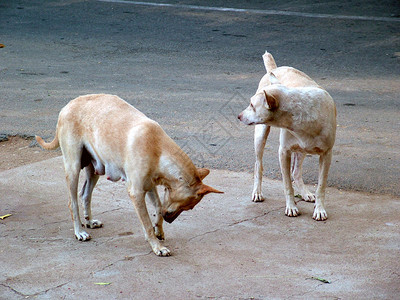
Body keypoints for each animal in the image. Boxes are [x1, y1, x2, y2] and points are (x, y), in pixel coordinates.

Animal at [36, 94, 223, 255]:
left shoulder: (150, 186)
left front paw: (159, 229)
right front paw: (157, 246)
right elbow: (146, 223)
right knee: (72, 202)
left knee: (85, 195)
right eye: (189, 206)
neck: (158, 149)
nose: (170, 220)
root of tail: (67, 105)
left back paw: (88, 221)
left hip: (94, 169)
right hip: (73, 167)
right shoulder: (137, 192)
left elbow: (157, 207)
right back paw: (79, 231)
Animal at [239, 51, 336, 220]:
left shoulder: (326, 154)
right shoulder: (283, 152)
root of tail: (275, 69)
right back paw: (257, 192)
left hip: (302, 149)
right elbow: (287, 185)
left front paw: (319, 209)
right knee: (258, 165)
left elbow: (321, 186)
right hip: (260, 135)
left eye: (252, 105)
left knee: (296, 172)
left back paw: (305, 193)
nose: (238, 116)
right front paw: (291, 207)